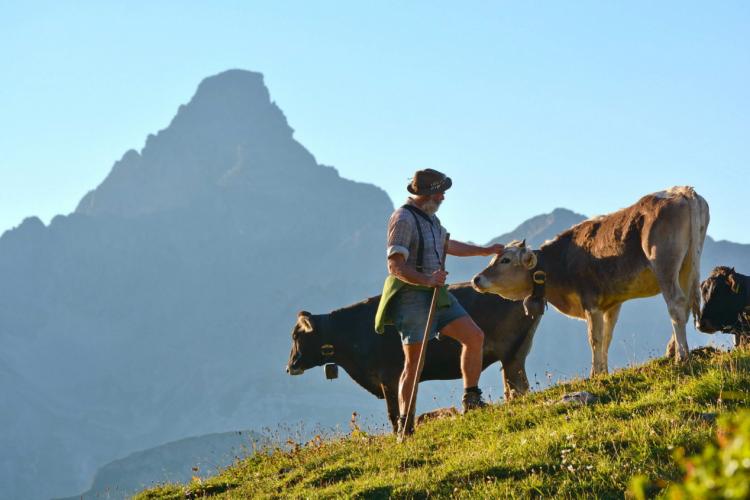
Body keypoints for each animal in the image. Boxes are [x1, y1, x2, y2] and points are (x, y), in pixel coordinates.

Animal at [286, 284, 540, 432]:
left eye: (296, 335)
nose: (289, 367)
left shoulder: (389, 376)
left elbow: (395, 411)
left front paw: (400, 431)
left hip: (511, 352)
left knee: (517, 385)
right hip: (516, 352)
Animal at [476, 188, 712, 376]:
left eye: (505, 260)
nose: (476, 278)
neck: (563, 260)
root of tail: (682, 191)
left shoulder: (591, 301)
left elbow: (594, 338)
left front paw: (595, 374)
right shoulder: (612, 303)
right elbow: (607, 337)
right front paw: (603, 371)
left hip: (664, 264)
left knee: (675, 304)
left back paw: (681, 356)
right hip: (687, 265)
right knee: (686, 304)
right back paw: (673, 350)